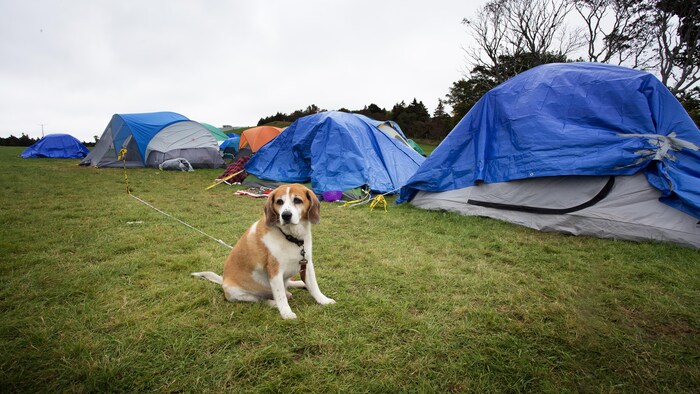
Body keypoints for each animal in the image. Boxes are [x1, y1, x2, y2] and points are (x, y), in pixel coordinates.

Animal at [190, 183, 334, 318]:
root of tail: (223, 280)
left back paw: (299, 283)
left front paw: (323, 300)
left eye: (297, 200)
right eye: (279, 202)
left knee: (288, 285)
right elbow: (280, 295)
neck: (290, 237)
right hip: (239, 293)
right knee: (262, 300)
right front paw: (286, 313)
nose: (285, 215)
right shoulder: (275, 271)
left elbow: (314, 286)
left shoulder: (306, 263)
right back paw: (274, 302)